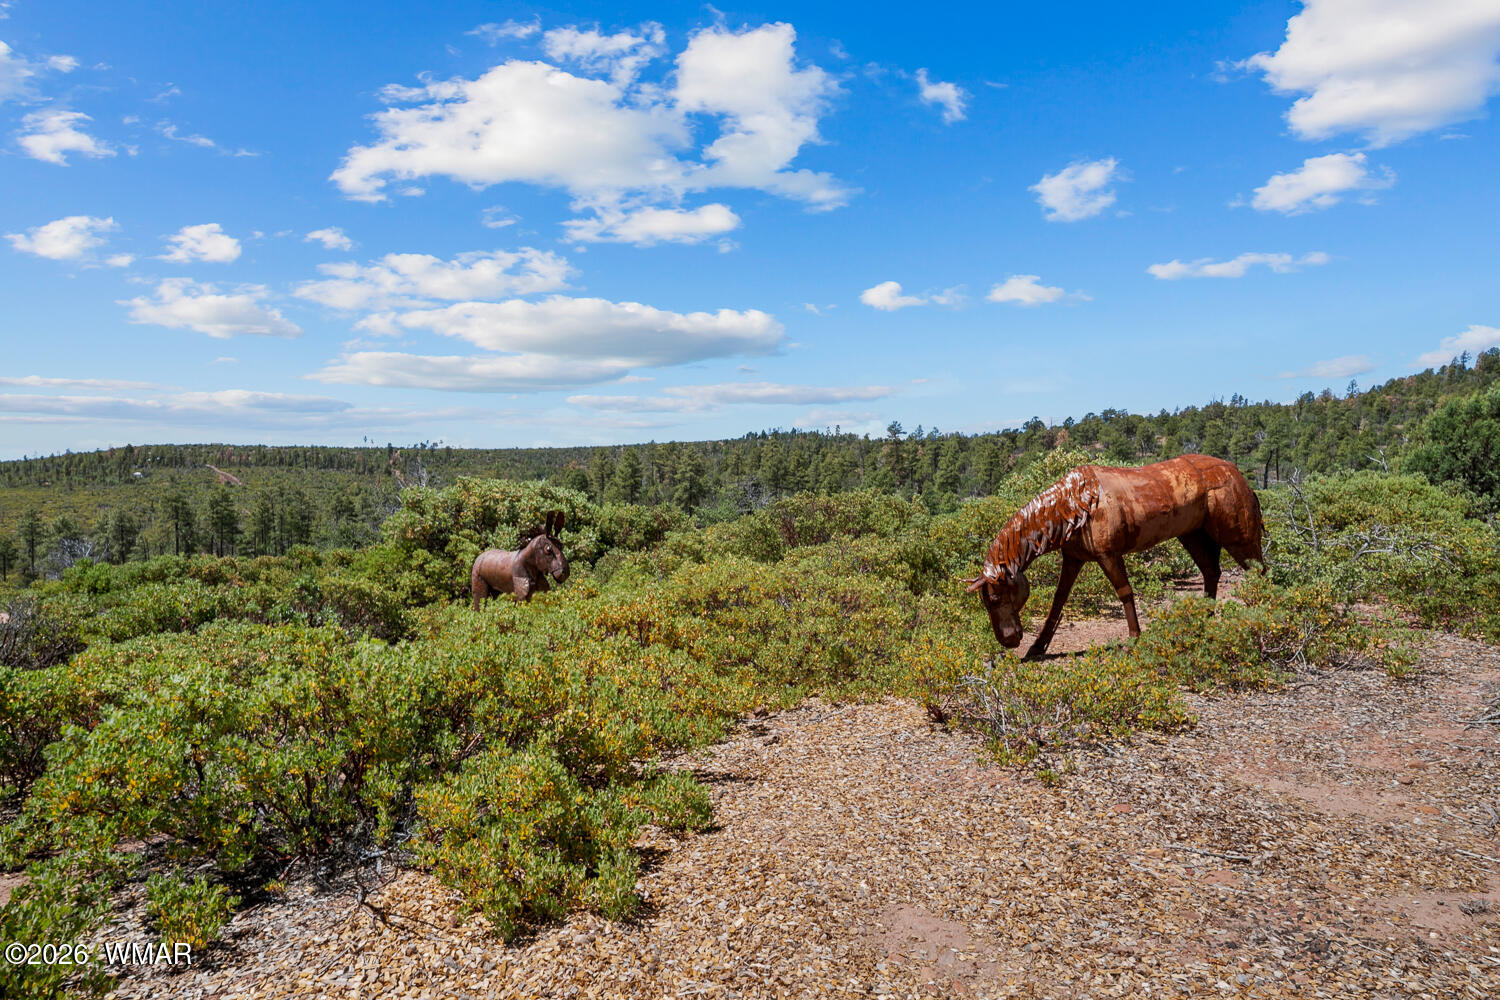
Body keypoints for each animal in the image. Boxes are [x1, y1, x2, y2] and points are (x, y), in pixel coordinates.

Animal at [966, 454, 1264, 658]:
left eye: (995, 598)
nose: (1009, 640)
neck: (1074, 506)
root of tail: (1239, 476)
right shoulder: (1073, 559)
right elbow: (1058, 600)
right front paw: (1037, 648)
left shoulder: (1108, 555)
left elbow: (1125, 592)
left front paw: (1133, 640)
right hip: (1194, 536)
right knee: (1211, 572)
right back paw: (1203, 624)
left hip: (1238, 538)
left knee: (1259, 573)